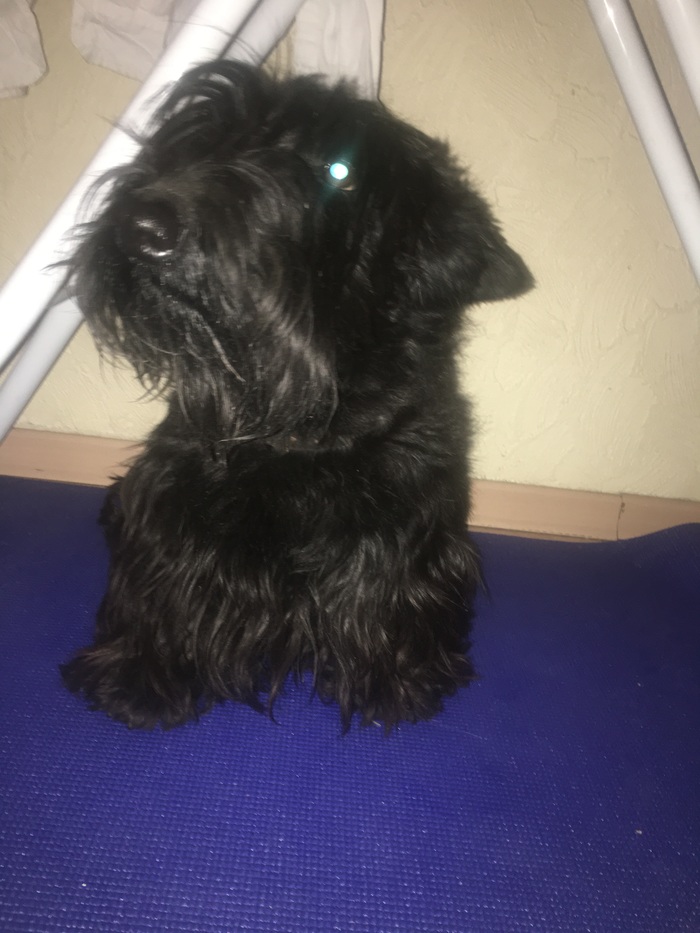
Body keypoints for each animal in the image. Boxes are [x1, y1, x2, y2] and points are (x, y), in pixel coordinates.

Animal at [61, 62, 531, 730]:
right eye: (198, 132)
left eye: (339, 170)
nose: (142, 225)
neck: (296, 436)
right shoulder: (170, 513)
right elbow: (158, 594)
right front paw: (138, 675)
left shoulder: (408, 534)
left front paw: (398, 677)